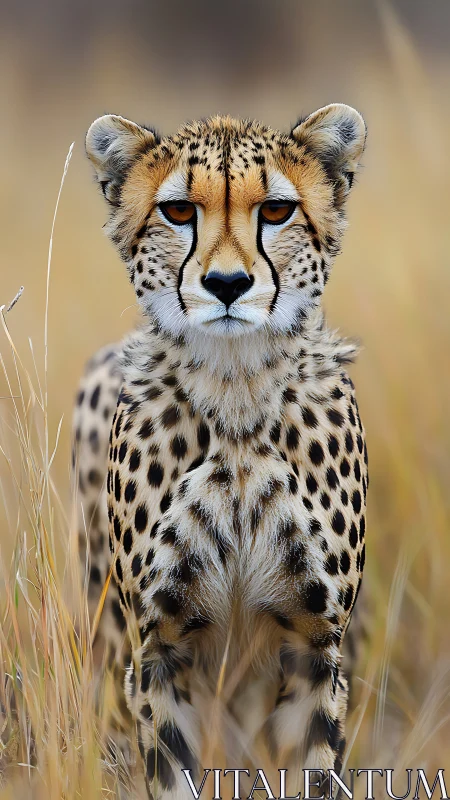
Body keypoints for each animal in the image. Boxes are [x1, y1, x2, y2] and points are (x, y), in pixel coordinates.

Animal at [72, 104, 368, 800]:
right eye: (179, 211)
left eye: (277, 210)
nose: (228, 283)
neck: (235, 392)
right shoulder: (158, 650)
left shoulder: (315, 648)